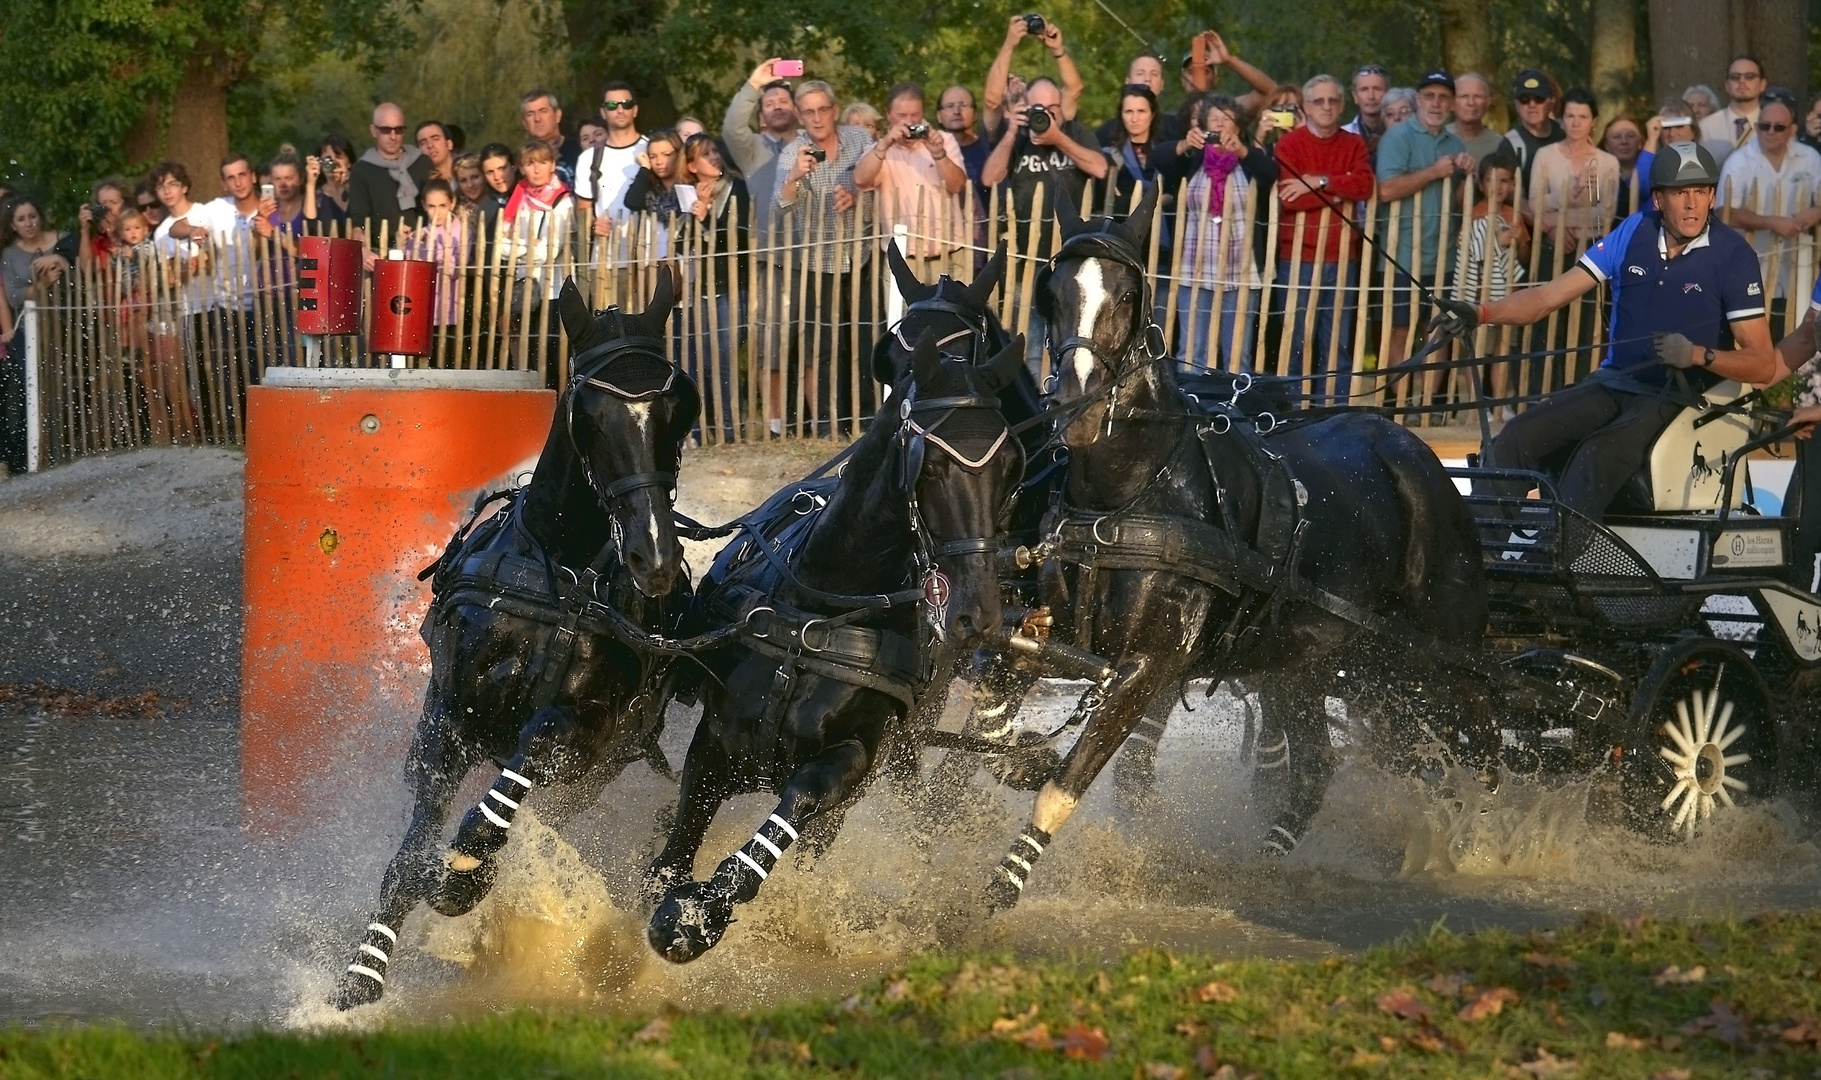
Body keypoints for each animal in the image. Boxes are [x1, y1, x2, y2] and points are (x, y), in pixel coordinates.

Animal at [327, 273, 695, 1005]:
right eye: (590, 413)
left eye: (679, 409)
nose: (654, 557)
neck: (553, 570)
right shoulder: (448, 712)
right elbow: (408, 858)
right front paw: (362, 977)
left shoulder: (580, 730)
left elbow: (510, 785)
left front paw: (466, 868)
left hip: (595, 772)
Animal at [648, 333, 1034, 961]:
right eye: (932, 466)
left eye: (1010, 470)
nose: (978, 615)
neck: (821, 615)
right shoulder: (716, 739)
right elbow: (680, 838)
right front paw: (674, 898)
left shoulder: (856, 756)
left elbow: (806, 794)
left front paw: (705, 908)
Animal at [990, 189, 1485, 906]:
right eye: (1050, 294)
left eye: (1127, 295)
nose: (1077, 413)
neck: (1130, 495)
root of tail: (1420, 457)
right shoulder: (1054, 630)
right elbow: (1003, 715)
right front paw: (1015, 750)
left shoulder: (1149, 663)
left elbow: (1067, 784)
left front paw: (994, 891)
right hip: (1312, 660)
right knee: (1316, 766)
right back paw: (1262, 860)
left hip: (1442, 649)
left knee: (1478, 747)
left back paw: (1480, 837)